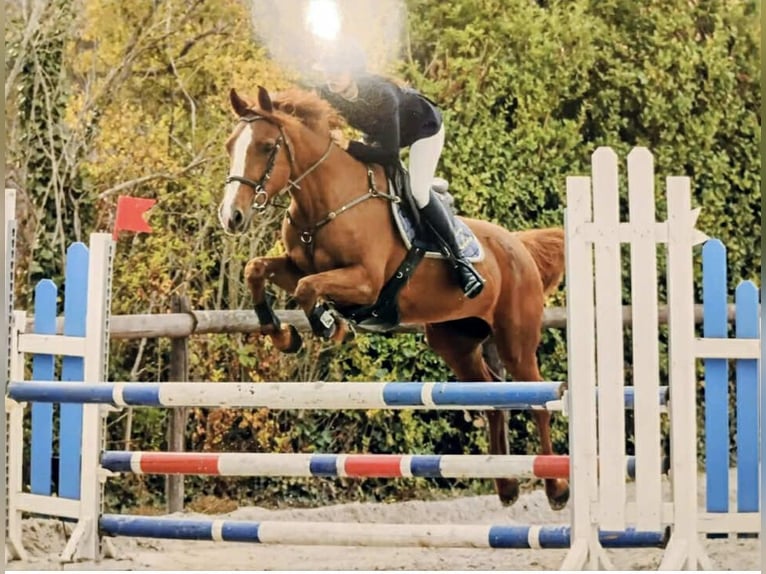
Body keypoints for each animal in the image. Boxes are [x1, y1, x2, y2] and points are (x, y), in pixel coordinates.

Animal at [218, 85, 569, 510]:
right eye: (230, 145)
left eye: (267, 146)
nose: (231, 216)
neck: (326, 202)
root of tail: (517, 246)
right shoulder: (295, 267)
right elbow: (257, 270)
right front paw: (284, 335)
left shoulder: (366, 282)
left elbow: (308, 289)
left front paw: (329, 326)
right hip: (455, 340)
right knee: (491, 398)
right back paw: (506, 487)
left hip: (516, 339)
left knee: (538, 400)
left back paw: (556, 489)